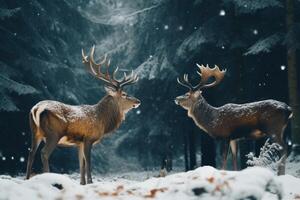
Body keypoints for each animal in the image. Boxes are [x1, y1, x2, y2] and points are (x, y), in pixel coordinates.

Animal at [25, 45, 141, 184]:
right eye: (124, 94)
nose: (138, 101)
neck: (102, 121)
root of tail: (36, 108)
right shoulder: (88, 138)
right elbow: (89, 163)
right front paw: (90, 182)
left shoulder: (79, 142)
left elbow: (81, 164)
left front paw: (82, 183)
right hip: (53, 133)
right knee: (44, 153)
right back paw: (48, 177)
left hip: (35, 132)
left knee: (31, 153)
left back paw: (26, 179)